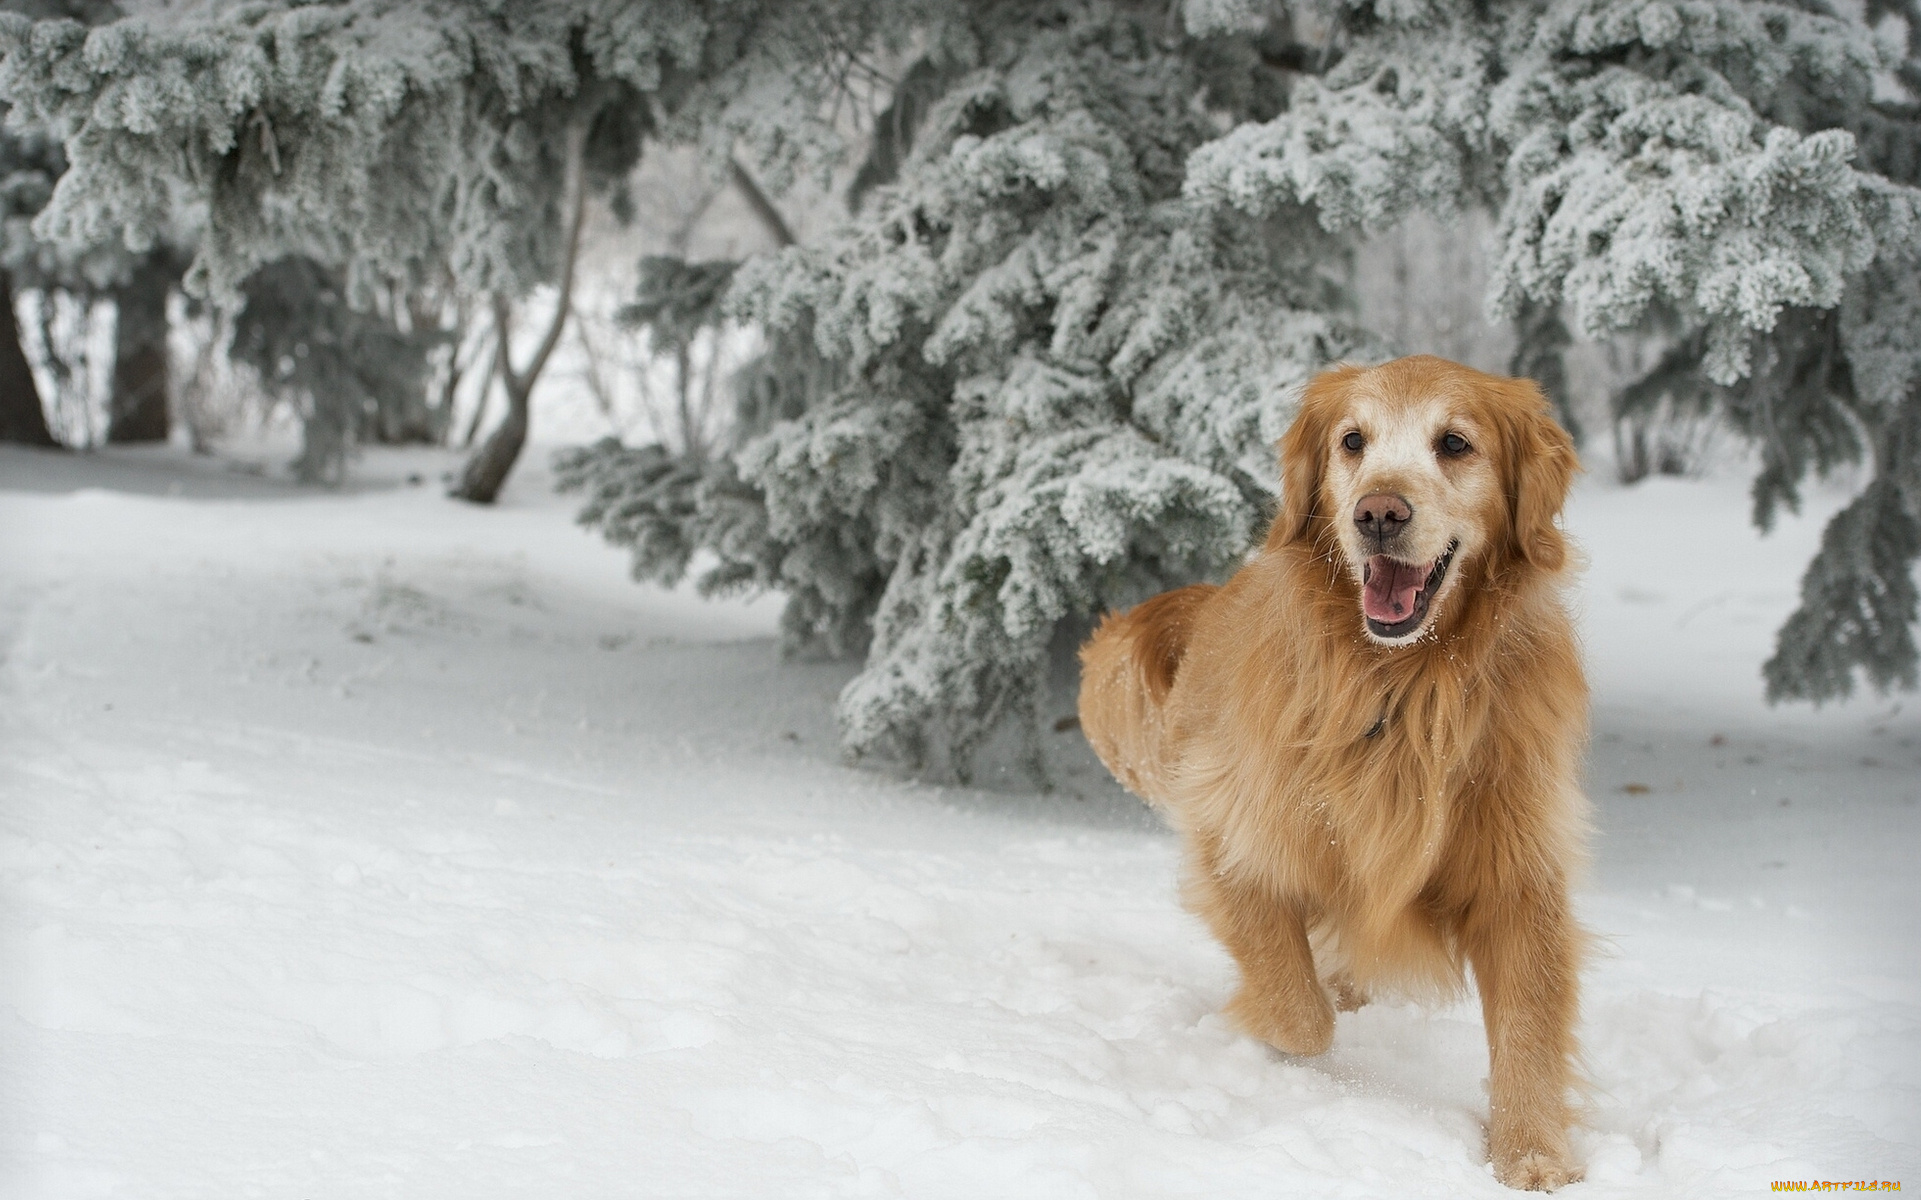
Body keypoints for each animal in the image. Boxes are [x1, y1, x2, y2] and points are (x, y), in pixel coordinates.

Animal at [1083, 351, 1590, 1182]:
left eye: (1454, 443)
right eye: (1352, 441)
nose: (1378, 513)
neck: (1401, 685)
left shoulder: (1517, 869)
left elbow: (1528, 1024)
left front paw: (1533, 1158)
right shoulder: (1237, 838)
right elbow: (1297, 1010)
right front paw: (1263, 1027)